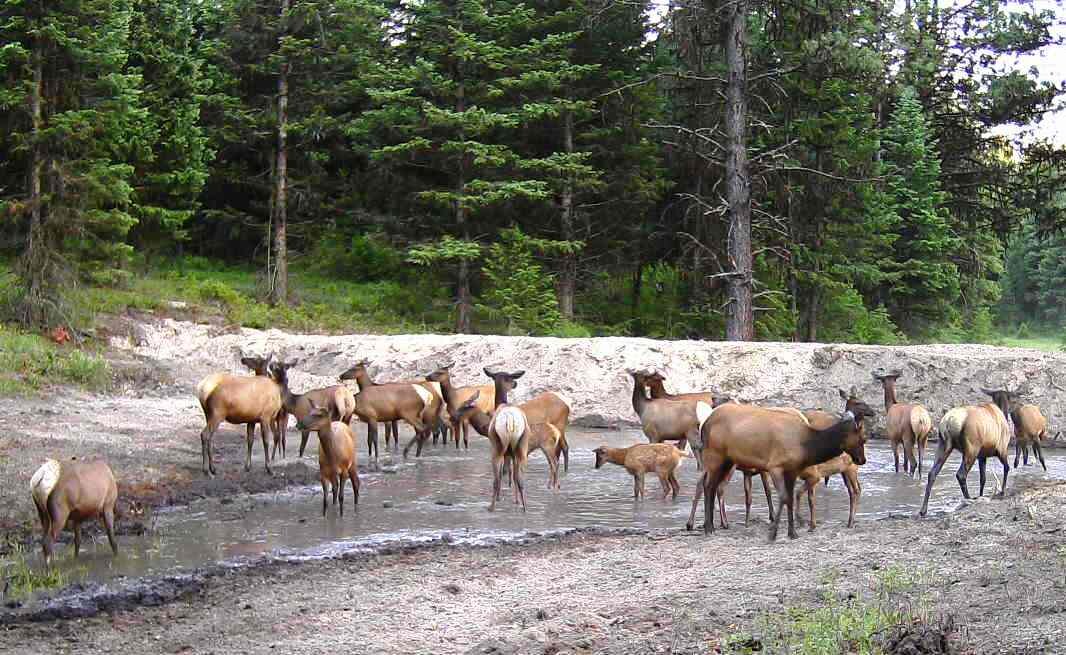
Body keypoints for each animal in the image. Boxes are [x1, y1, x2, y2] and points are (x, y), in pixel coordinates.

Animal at [690, 403, 874, 541]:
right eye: (863, 438)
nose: (862, 460)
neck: (807, 446)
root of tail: (704, 424)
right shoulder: (775, 466)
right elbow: (784, 497)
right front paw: (773, 533)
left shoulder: (792, 470)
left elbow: (790, 499)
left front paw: (792, 532)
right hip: (715, 456)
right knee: (708, 486)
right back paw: (708, 528)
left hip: (728, 461)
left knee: (711, 486)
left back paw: (710, 526)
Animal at [921, 390, 1010, 518]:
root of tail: (948, 422)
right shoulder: (1002, 449)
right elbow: (1007, 468)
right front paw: (1002, 491)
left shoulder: (982, 456)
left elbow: (983, 478)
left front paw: (981, 495)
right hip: (971, 449)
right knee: (961, 474)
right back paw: (969, 499)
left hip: (943, 445)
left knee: (932, 473)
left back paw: (923, 510)